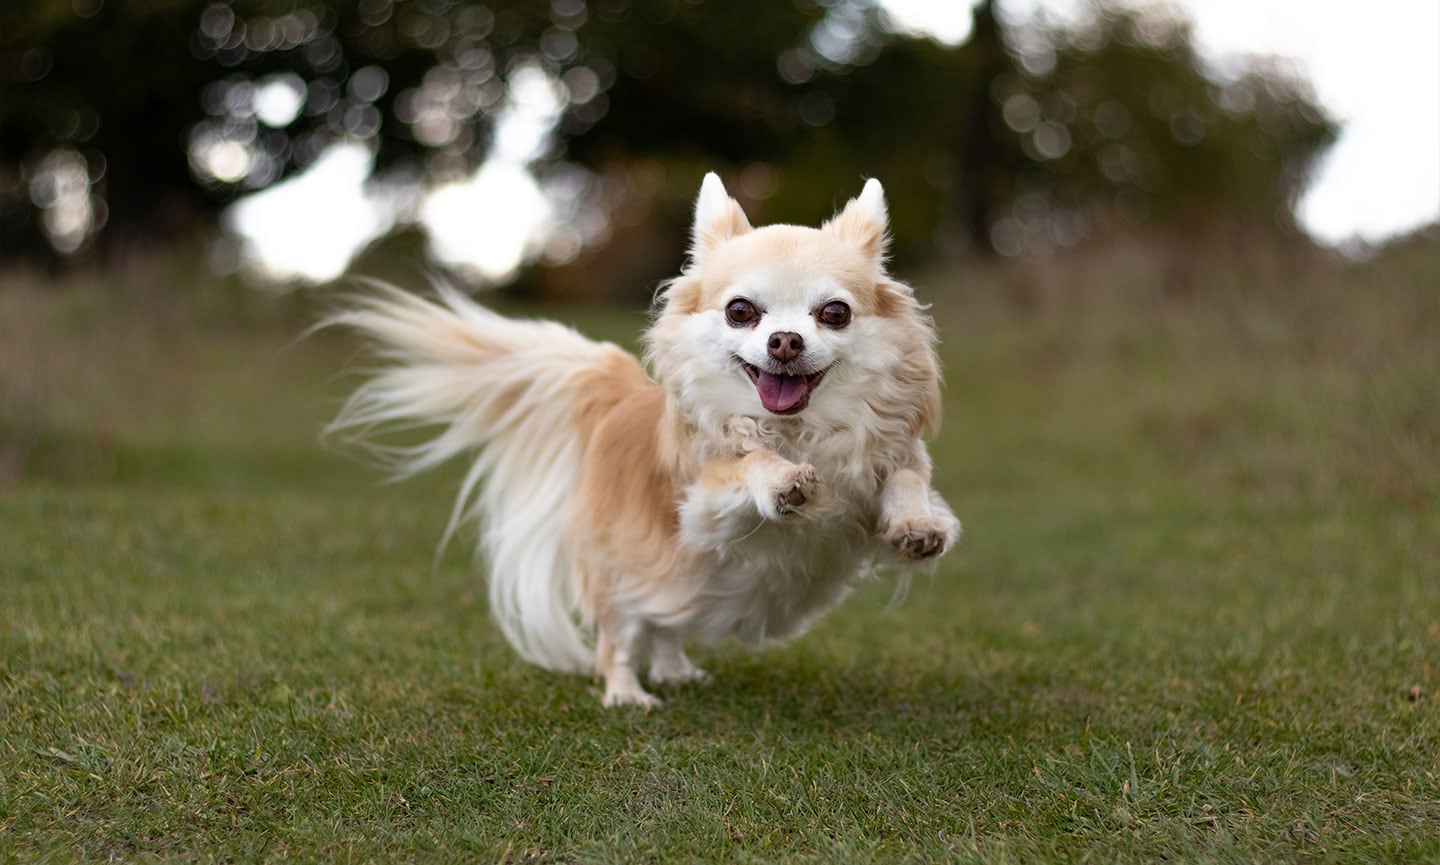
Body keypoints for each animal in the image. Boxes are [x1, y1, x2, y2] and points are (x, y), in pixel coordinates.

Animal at [331, 171, 961, 705]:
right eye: (741, 312)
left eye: (834, 313)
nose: (784, 341)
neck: (796, 429)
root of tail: (619, 398)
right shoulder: (701, 506)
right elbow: (745, 462)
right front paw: (782, 480)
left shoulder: (892, 457)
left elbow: (906, 478)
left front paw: (917, 526)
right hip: (622, 575)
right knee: (619, 640)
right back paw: (627, 694)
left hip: (671, 583)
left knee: (664, 626)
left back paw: (676, 670)